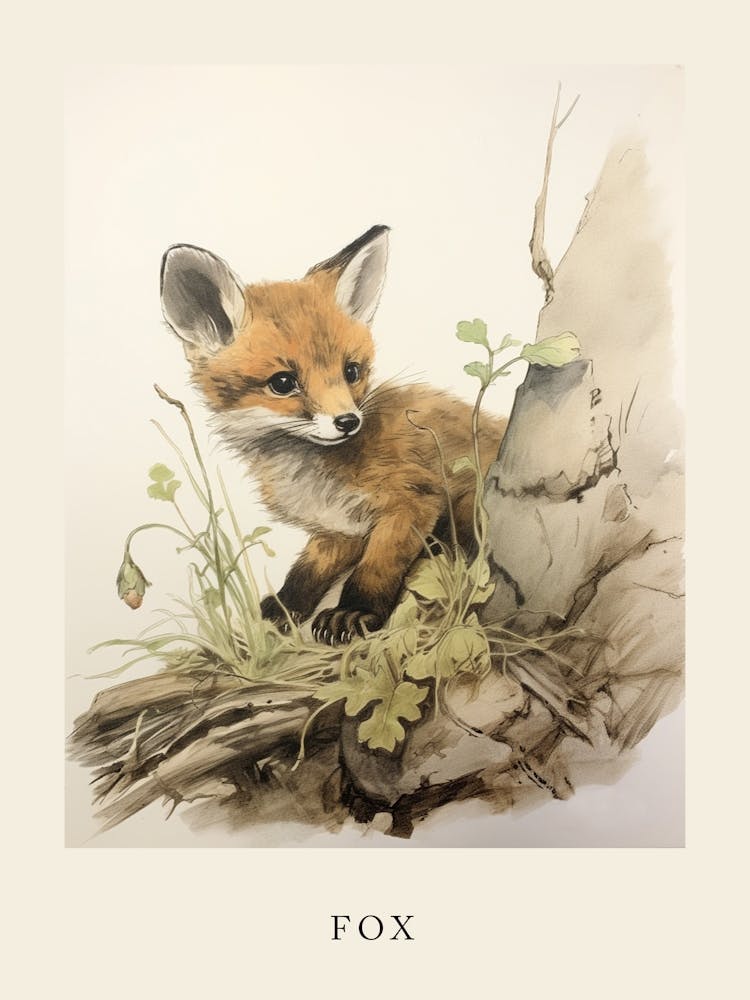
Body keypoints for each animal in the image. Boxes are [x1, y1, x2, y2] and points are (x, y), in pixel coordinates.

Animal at [160, 225, 507, 645]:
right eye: (283, 383)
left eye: (351, 371)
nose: (347, 422)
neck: (314, 475)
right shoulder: (337, 527)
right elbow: (306, 573)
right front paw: (281, 610)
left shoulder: (412, 498)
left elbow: (376, 567)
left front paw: (355, 611)